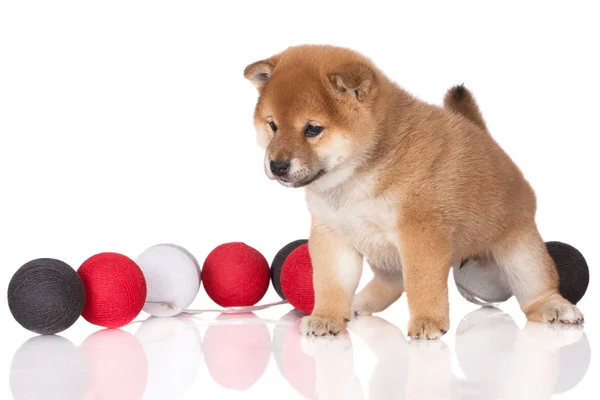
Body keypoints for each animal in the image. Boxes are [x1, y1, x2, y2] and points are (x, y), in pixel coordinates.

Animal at [243, 45, 580, 340]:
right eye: (273, 126)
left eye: (312, 129)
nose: (277, 165)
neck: (356, 178)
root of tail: (488, 140)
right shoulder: (333, 235)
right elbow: (330, 282)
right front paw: (326, 317)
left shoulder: (420, 233)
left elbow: (421, 283)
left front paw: (427, 321)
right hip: (382, 253)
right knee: (392, 282)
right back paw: (359, 303)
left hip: (520, 250)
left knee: (536, 288)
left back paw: (555, 307)